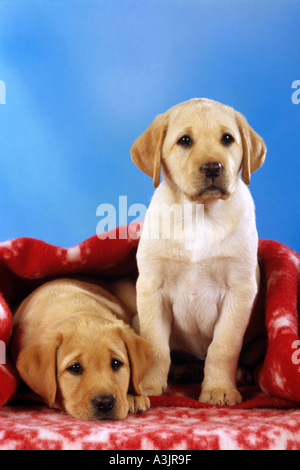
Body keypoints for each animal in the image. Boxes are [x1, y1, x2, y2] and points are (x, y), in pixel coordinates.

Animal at [130, 97, 266, 406]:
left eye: (227, 139)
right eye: (184, 141)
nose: (213, 168)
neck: (200, 215)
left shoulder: (240, 289)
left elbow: (224, 346)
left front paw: (219, 389)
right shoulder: (151, 287)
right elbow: (156, 345)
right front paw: (148, 386)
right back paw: (185, 371)